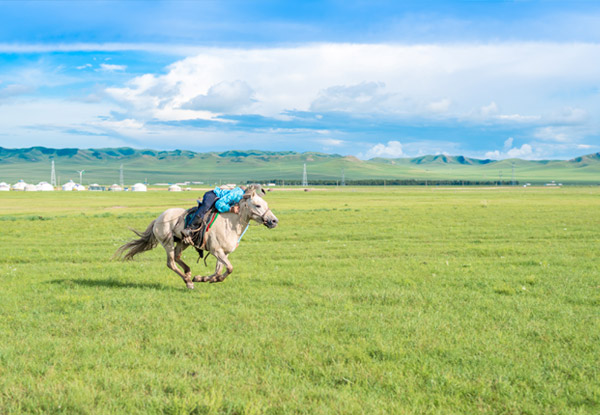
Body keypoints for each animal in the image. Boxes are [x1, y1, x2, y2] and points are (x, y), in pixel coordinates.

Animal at [113, 185, 278, 290]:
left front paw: (203, 278)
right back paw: (188, 281)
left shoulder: (223, 253)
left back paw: (188, 274)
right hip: (167, 242)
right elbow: (229, 268)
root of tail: (158, 218)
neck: (230, 223)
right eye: (257, 205)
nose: (274, 221)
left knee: (178, 257)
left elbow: (219, 271)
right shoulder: (216, 251)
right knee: (171, 263)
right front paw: (202, 279)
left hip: (182, 242)